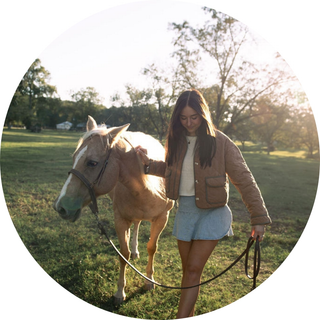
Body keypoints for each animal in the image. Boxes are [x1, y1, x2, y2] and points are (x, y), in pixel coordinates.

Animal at [53, 115, 172, 302]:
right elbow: (124, 254)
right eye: (74, 157)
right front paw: (120, 292)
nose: (61, 207)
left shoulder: (162, 218)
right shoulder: (120, 220)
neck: (147, 189)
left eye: (92, 162)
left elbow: (152, 248)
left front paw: (149, 281)